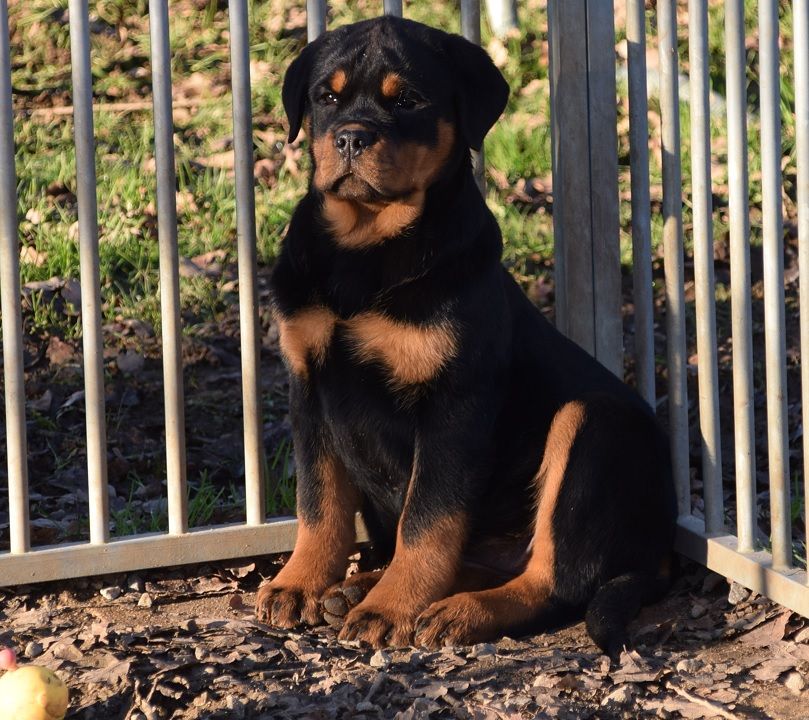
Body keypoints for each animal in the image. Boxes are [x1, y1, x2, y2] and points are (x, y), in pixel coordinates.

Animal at [258, 14, 676, 656]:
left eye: (407, 100)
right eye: (326, 98)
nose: (350, 138)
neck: (366, 247)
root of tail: (660, 554)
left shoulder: (455, 402)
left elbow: (427, 517)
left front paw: (392, 610)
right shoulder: (309, 388)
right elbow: (319, 502)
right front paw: (299, 584)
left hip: (593, 423)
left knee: (556, 580)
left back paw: (456, 612)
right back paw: (360, 589)